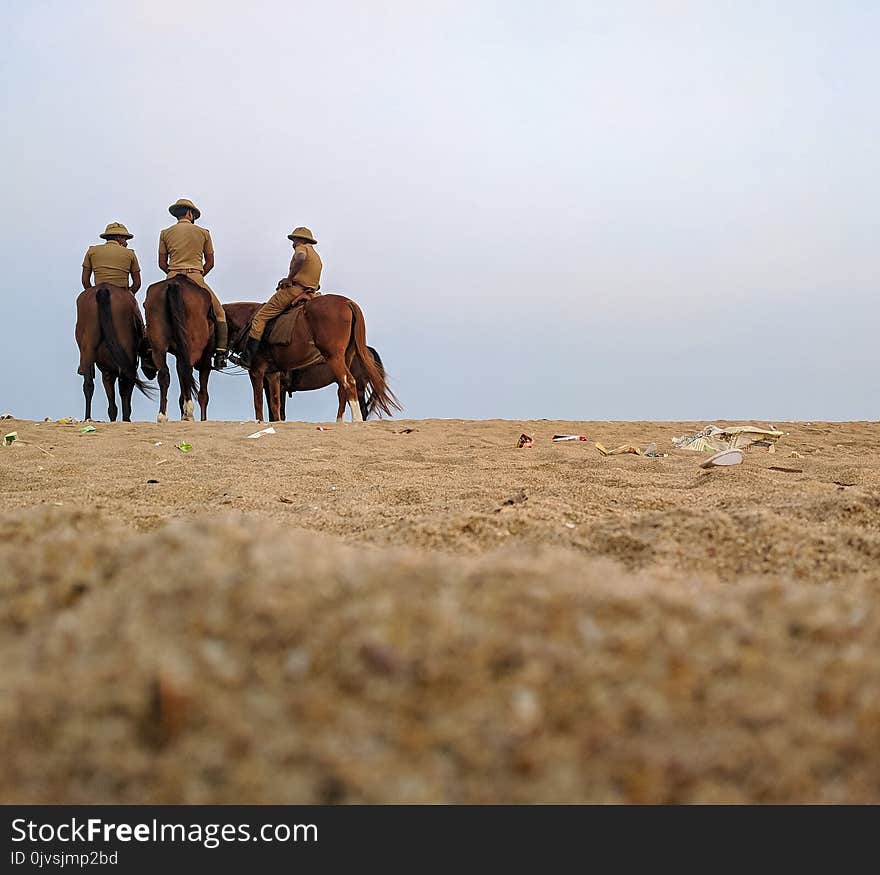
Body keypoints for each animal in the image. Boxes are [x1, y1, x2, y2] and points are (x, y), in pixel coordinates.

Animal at [75, 286, 156, 422]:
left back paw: (88, 417)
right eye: (150, 352)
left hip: (88, 348)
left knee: (88, 384)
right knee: (124, 384)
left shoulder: (107, 373)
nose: (152, 374)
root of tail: (103, 288)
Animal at [144, 276, 216, 422]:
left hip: (158, 345)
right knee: (187, 369)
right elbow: (203, 393)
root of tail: (174, 284)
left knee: (164, 374)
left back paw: (162, 415)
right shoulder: (206, 356)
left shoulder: (177, 353)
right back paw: (189, 413)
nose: (147, 370)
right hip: (193, 346)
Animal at [223, 300, 398, 426]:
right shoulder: (273, 377)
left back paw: (356, 420)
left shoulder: (257, 372)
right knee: (343, 389)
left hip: (342, 366)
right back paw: (339, 421)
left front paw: (259, 422)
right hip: (346, 359)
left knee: (351, 387)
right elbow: (275, 406)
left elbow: (259, 401)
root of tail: (348, 303)